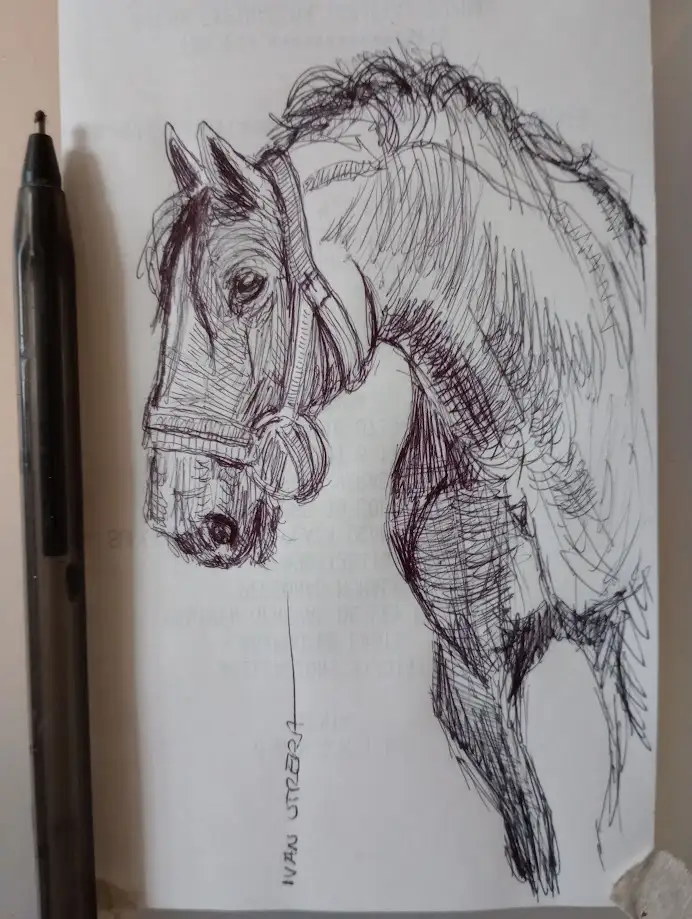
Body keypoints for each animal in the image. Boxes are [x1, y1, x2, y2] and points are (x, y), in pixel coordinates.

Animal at [139, 47, 653, 897]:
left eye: (247, 284)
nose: (181, 514)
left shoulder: (630, 639)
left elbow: (617, 817)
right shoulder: (474, 678)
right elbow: (538, 842)